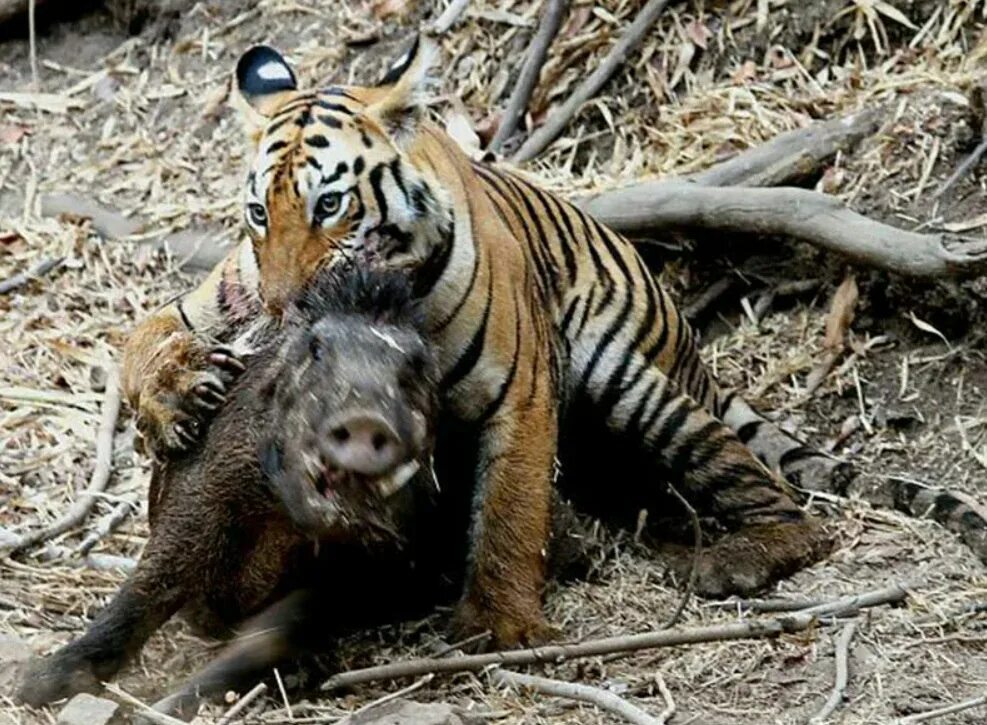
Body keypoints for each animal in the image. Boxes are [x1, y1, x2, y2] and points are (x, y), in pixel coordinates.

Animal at [123, 35, 848, 644]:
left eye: (328, 205)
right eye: (258, 214)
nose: (282, 306)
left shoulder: (519, 388)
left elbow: (508, 506)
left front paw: (502, 624)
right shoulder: (212, 298)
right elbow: (137, 343)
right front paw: (175, 399)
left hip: (633, 384)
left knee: (787, 506)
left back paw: (737, 559)